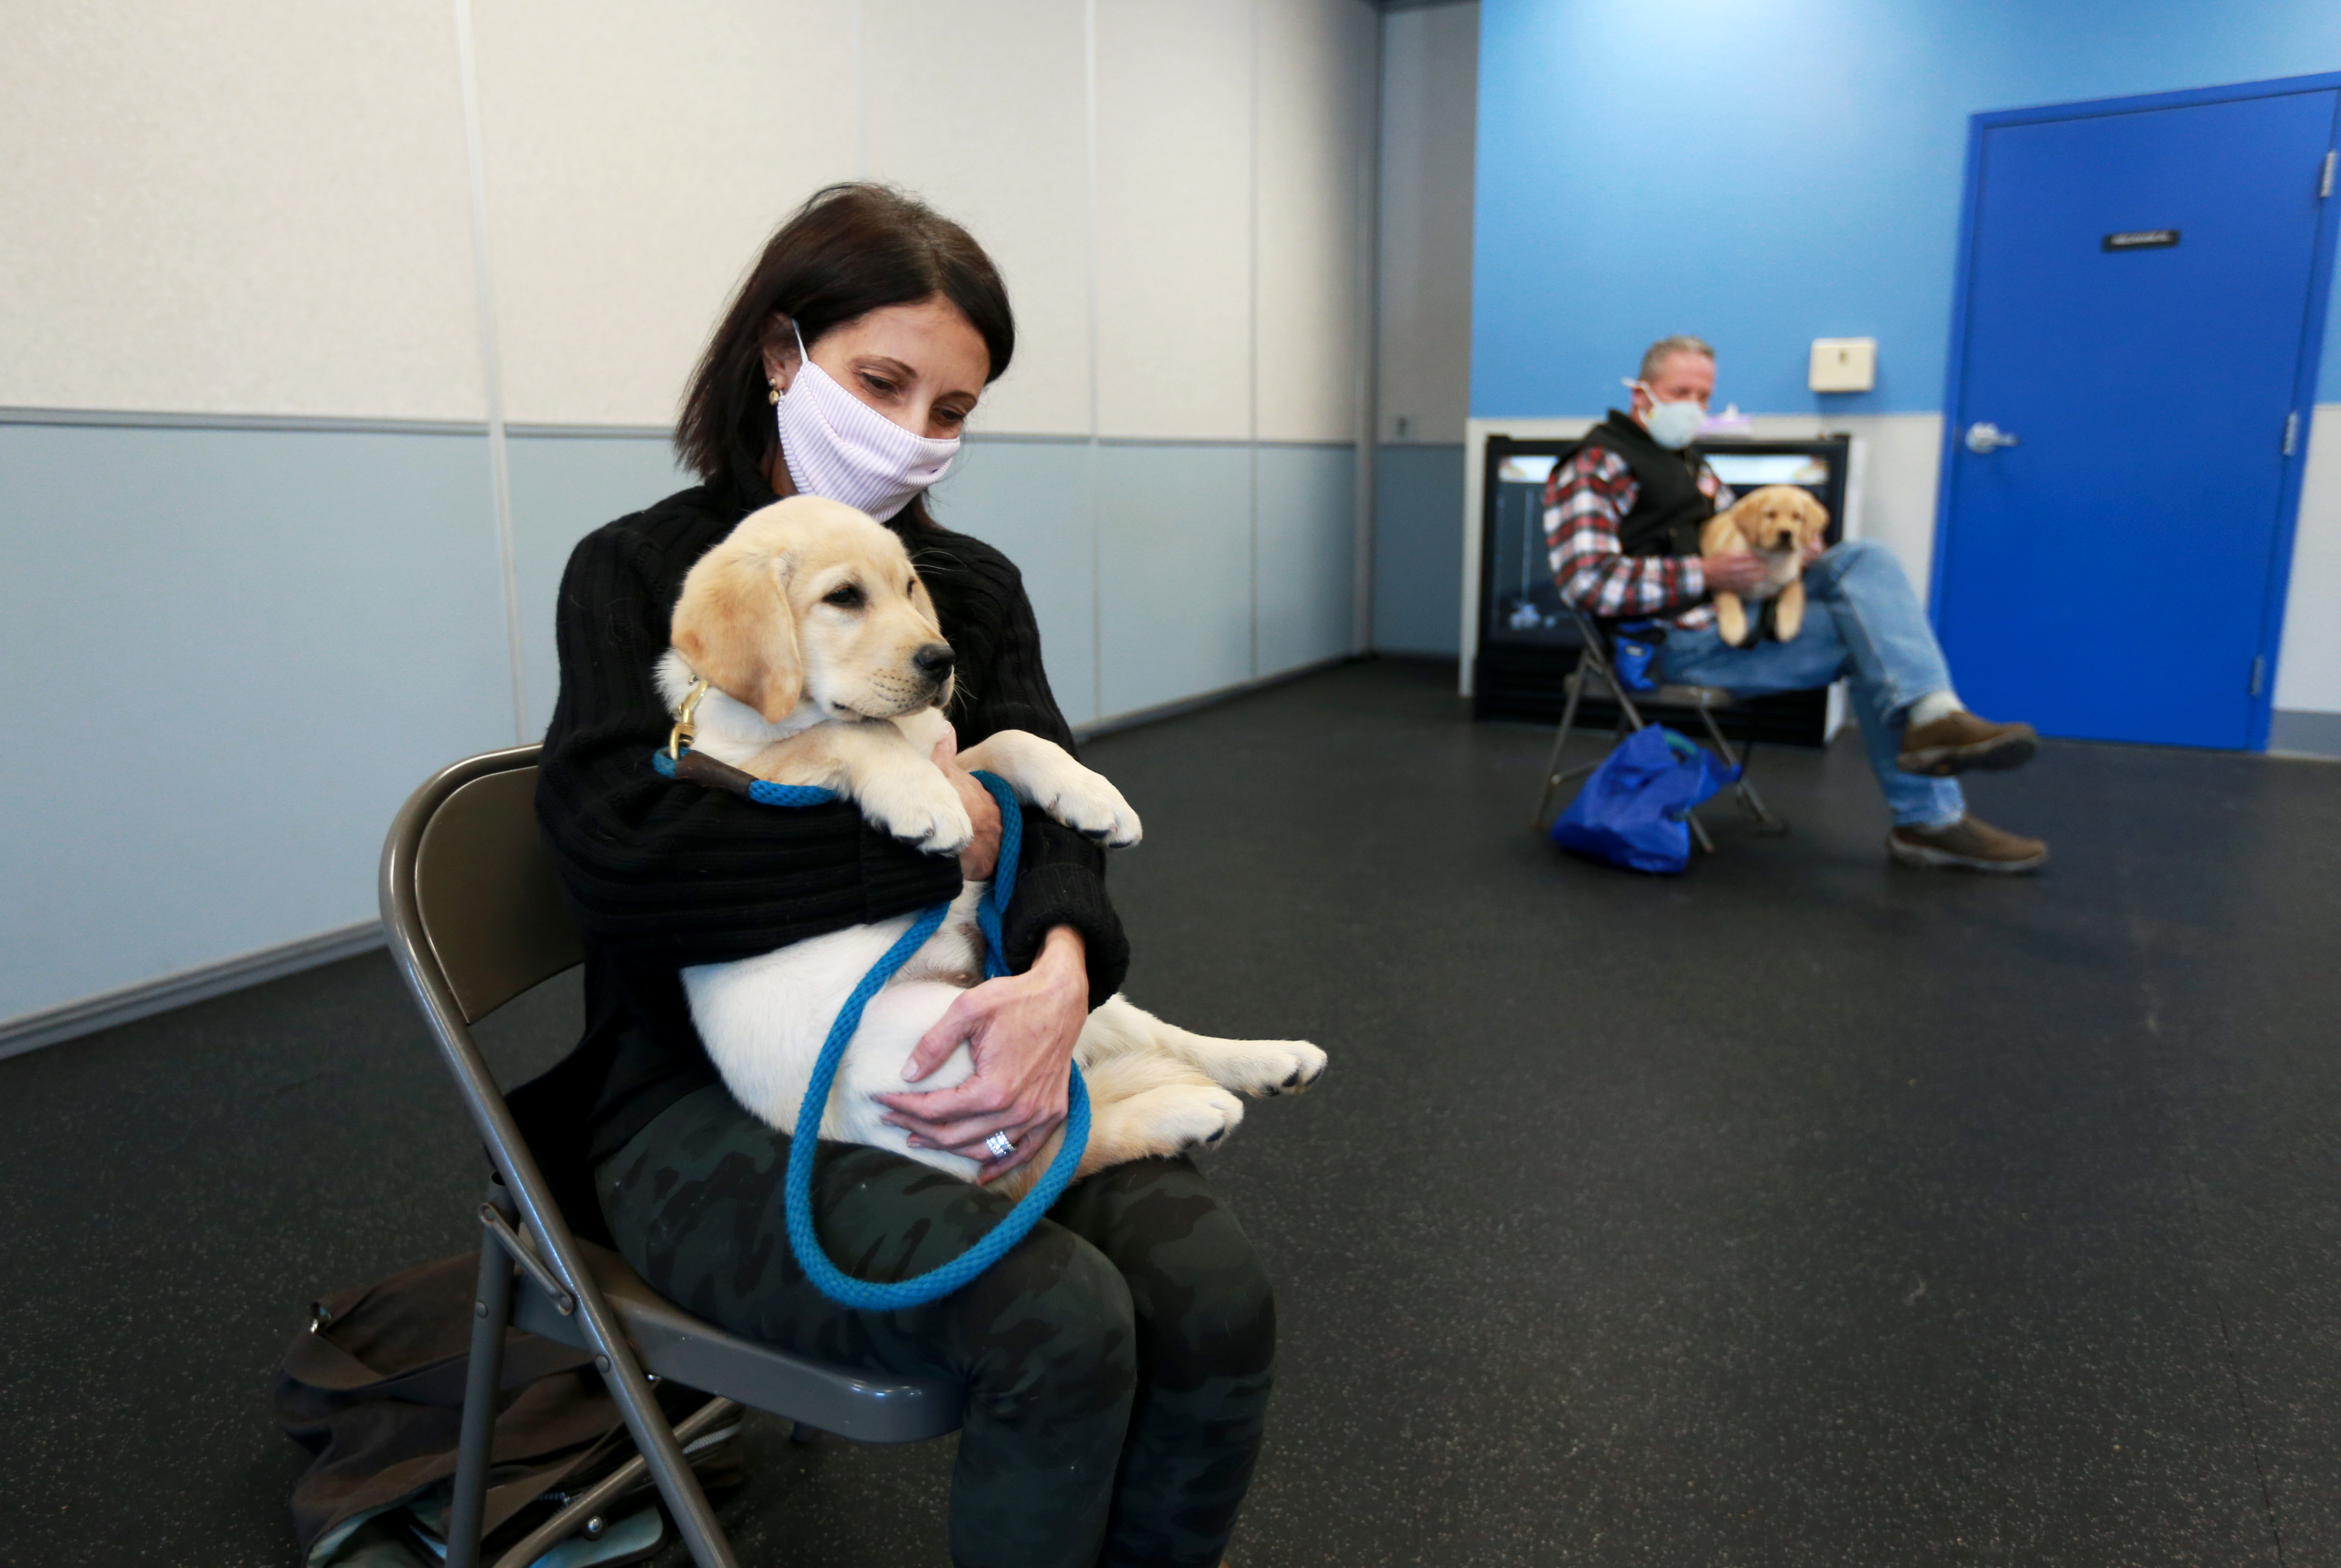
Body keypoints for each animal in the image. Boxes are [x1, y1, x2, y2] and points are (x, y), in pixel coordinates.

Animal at [651, 501, 1329, 1207]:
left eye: (910, 588)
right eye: (843, 597)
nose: (941, 659)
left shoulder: (955, 755)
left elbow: (1011, 740)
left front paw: (1093, 796)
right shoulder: (742, 772)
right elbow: (844, 734)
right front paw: (923, 798)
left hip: (1052, 997)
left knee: (1146, 1045)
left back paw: (1271, 1060)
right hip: (933, 1040)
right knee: (1044, 1157)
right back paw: (1189, 1111)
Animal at [1704, 482, 1826, 646]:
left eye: (1797, 517)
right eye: (1770, 515)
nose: (1786, 534)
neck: (1770, 559)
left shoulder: (1793, 580)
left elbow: (1793, 597)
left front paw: (1787, 625)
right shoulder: (1726, 579)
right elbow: (1728, 601)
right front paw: (1733, 629)